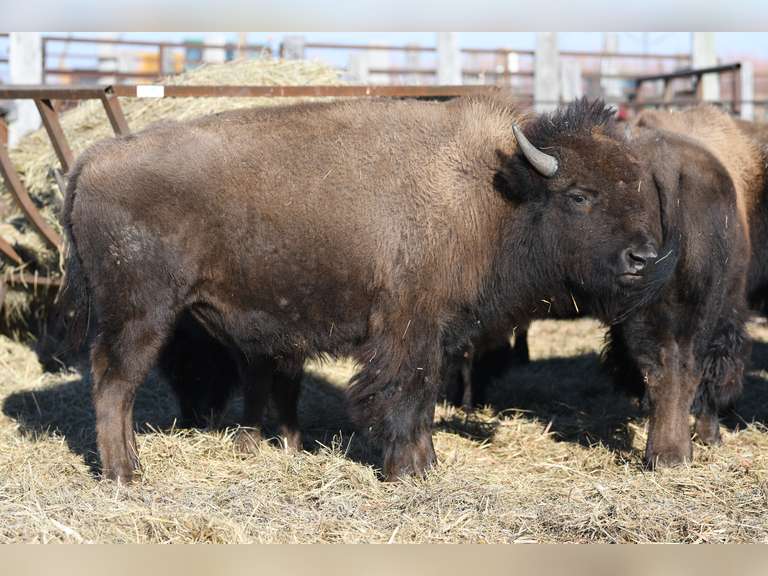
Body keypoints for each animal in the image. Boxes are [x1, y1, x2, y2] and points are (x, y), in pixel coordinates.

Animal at [62, 96, 683, 483]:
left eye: (638, 189)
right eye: (579, 195)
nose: (642, 258)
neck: (491, 194)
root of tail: (91, 160)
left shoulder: (434, 332)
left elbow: (424, 396)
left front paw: (425, 464)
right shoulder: (408, 328)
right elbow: (406, 393)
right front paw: (409, 469)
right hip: (139, 315)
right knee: (114, 384)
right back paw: (126, 473)